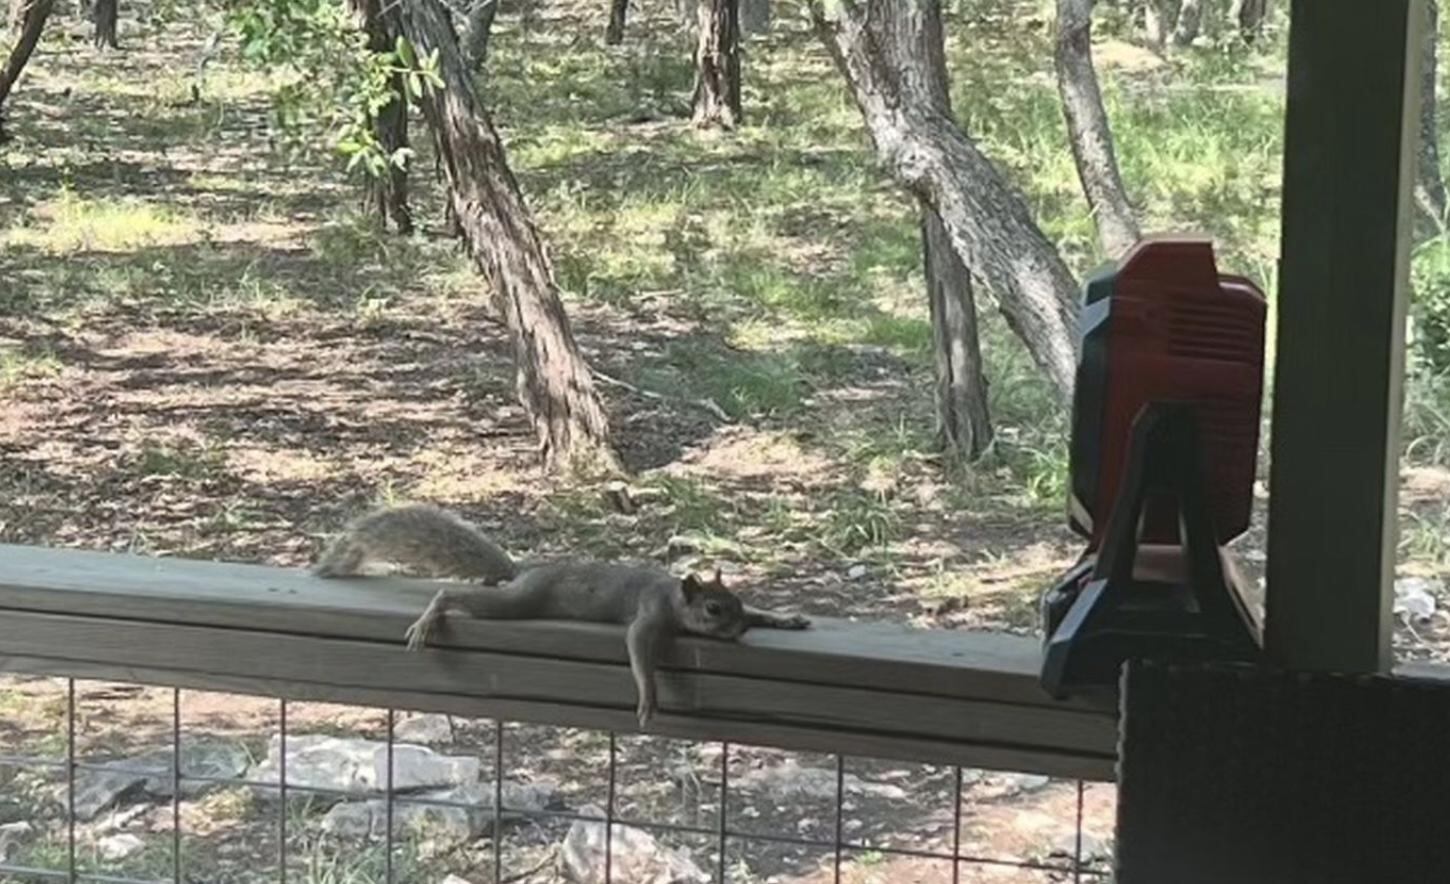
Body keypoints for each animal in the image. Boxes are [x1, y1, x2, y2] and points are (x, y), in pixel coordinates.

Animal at [316, 498, 812, 727]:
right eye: (712, 609)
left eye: (736, 604)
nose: (738, 629)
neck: (675, 595)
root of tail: (525, 571)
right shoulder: (650, 612)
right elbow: (638, 648)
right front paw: (648, 697)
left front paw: (785, 618)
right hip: (522, 601)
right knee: (459, 598)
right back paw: (431, 614)